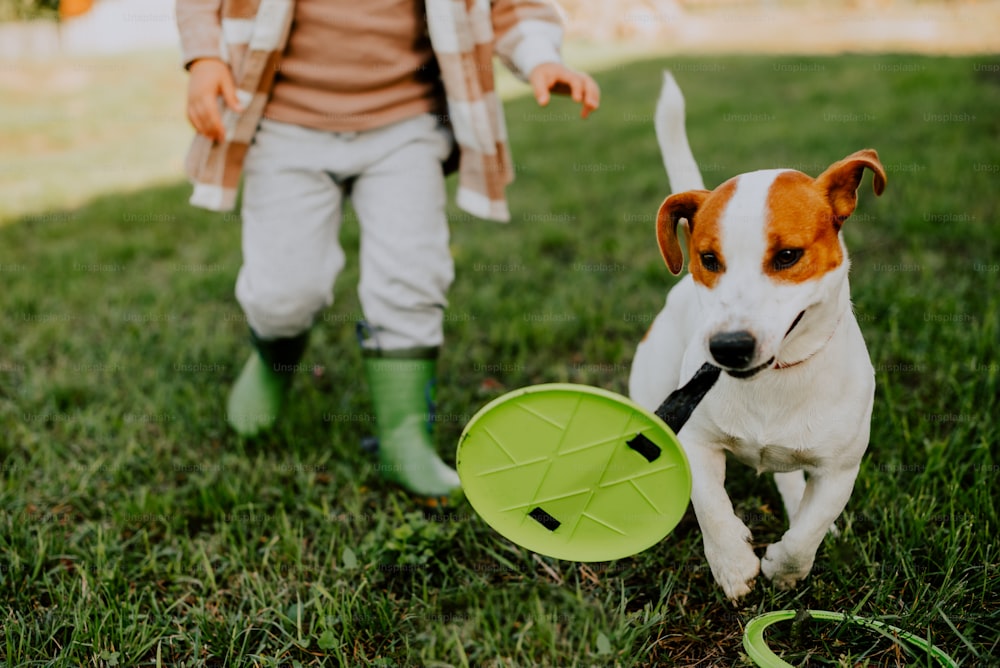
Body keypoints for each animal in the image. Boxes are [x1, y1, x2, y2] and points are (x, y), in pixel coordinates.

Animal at [628, 74, 888, 600]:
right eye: (708, 259)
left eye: (788, 255)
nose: (728, 347)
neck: (777, 378)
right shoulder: (696, 439)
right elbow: (709, 504)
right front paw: (732, 563)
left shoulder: (840, 469)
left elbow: (808, 530)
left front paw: (785, 568)